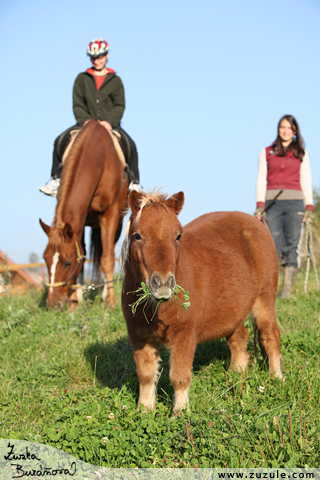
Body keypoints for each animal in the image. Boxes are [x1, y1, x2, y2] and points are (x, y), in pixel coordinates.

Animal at [40, 118, 129, 310]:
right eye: (45, 259)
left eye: (67, 263)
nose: (53, 304)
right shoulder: (80, 220)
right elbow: (81, 254)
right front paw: (74, 300)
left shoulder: (109, 215)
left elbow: (107, 258)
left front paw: (110, 301)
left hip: (117, 223)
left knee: (107, 251)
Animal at [121, 191, 282, 412]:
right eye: (137, 235)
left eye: (178, 235)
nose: (163, 284)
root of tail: (255, 223)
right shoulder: (139, 336)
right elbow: (146, 375)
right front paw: (144, 411)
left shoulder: (185, 334)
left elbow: (179, 376)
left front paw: (181, 412)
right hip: (233, 311)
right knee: (239, 338)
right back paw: (237, 376)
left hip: (264, 299)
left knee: (270, 336)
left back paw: (277, 378)